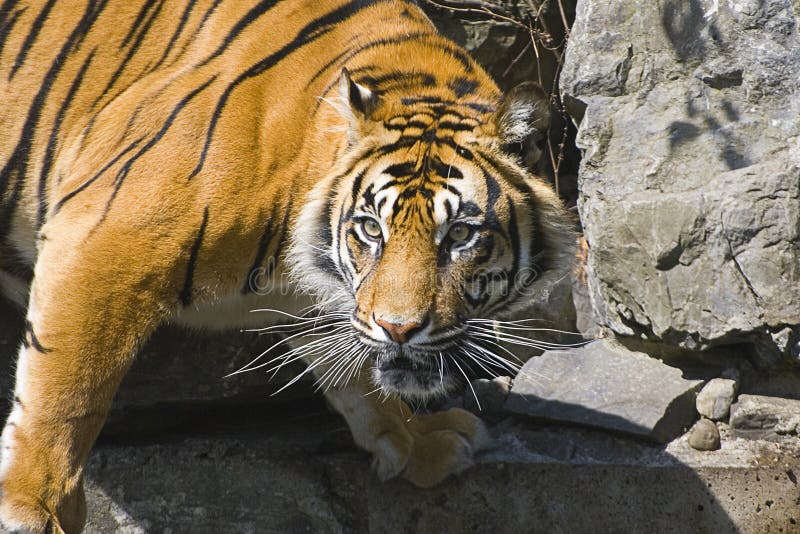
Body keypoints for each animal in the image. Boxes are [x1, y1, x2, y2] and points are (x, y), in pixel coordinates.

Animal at [0, 1, 576, 532]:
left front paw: (416, 440)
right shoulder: (106, 236)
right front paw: (33, 508)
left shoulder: (325, 301)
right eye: (372, 229)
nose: (399, 329)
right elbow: (66, 392)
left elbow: (354, 373)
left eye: (459, 234)